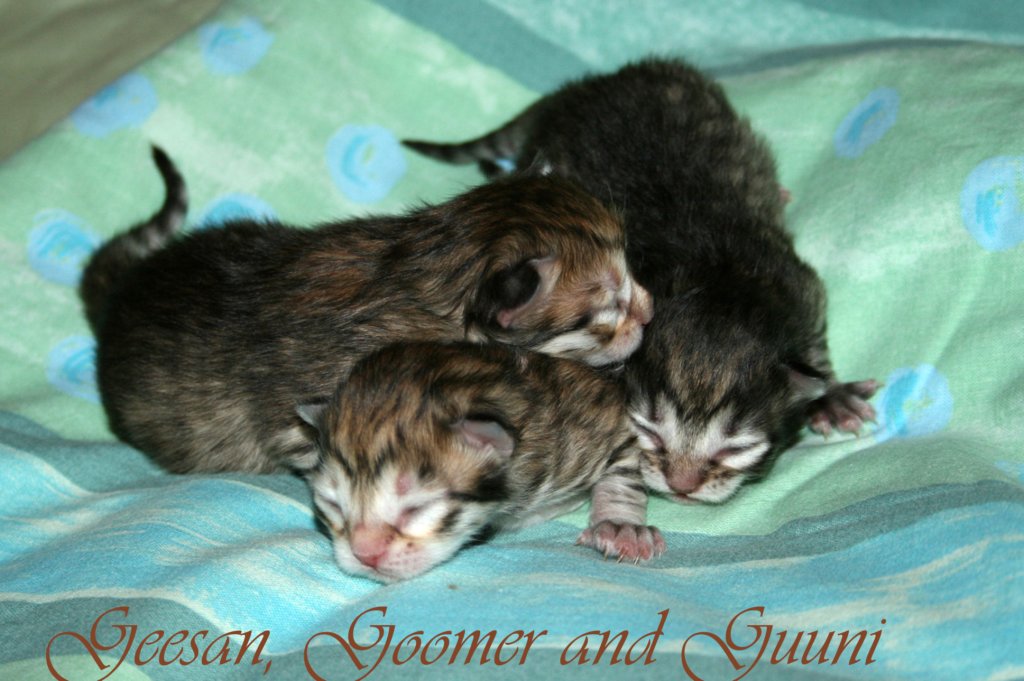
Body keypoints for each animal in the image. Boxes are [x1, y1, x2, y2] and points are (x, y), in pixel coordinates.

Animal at [300, 340, 664, 582]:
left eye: (417, 508)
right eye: (332, 505)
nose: (365, 554)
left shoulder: (599, 423)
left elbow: (624, 472)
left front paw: (620, 527)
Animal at [404, 57, 878, 503]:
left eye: (736, 449)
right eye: (648, 431)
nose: (682, 485)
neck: (718, 282)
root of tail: (580, 89)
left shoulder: (799, 285)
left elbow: (813, 342)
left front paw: (831, 395)